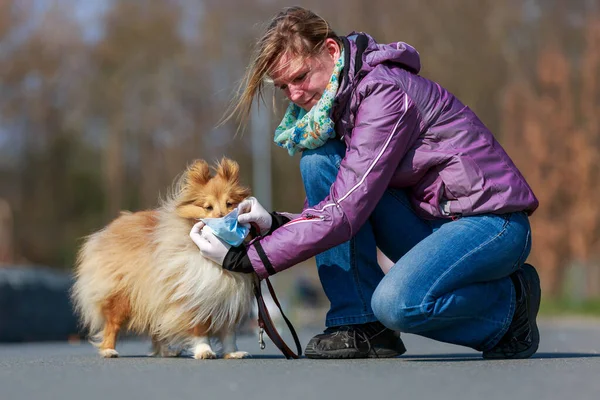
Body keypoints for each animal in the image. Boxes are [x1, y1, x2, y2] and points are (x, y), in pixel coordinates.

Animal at [71, 159, 254, 360]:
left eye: (230, 204)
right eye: (208, 207)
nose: (224, 218)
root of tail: (111, 228)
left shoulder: (229, 301)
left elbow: (229, 333)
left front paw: (233, 353)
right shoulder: (191, 296)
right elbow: (199, 329)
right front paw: (204, 351)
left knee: (157, 328)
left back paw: (166, 351)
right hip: (123, 297)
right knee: (112, 324)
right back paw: (109, 350)